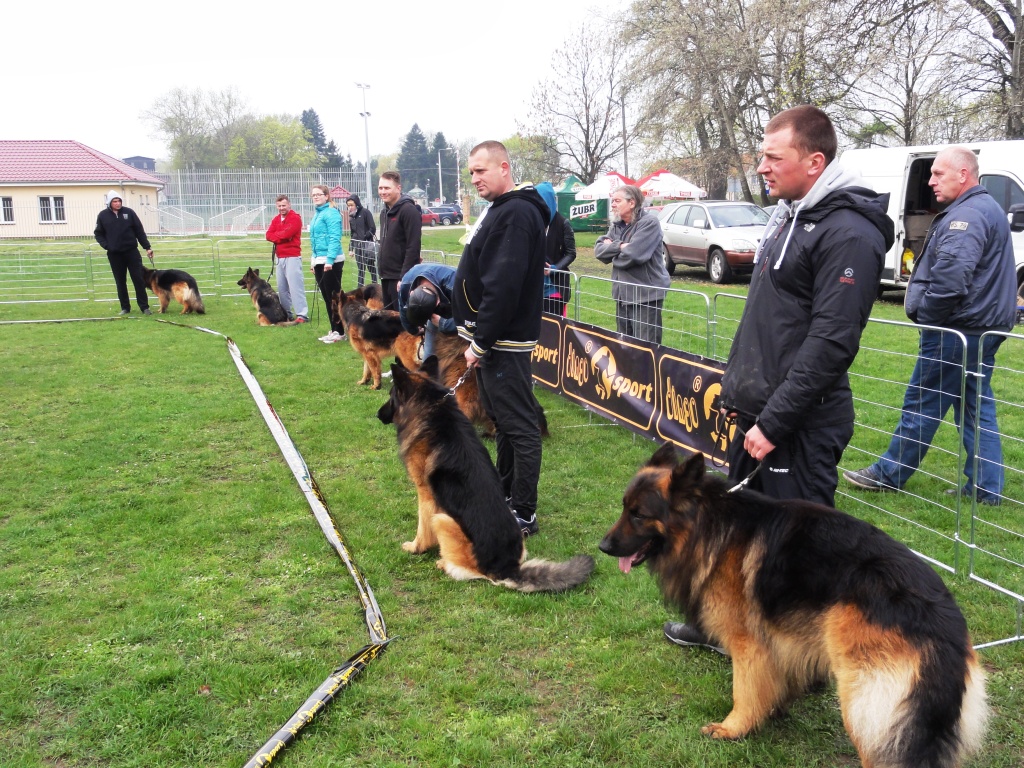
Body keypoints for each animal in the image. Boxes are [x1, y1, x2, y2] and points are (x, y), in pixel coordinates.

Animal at [376, 360, 593, 593]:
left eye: (390, 395)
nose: (377, 415)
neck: (431, 406)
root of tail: (507, 568)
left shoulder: (425, 495)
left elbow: (422, 527)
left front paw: (415, 547)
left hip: (444, 520)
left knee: (464, 569)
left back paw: (444, 563)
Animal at [598, 444, 983, 768]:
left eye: (639, 515)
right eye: (624, 507)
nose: (602, 546)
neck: (709, 526)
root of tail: (945, 625)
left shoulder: (749, 645)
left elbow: (745, 691)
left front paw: (733, 728)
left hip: (863, 705)